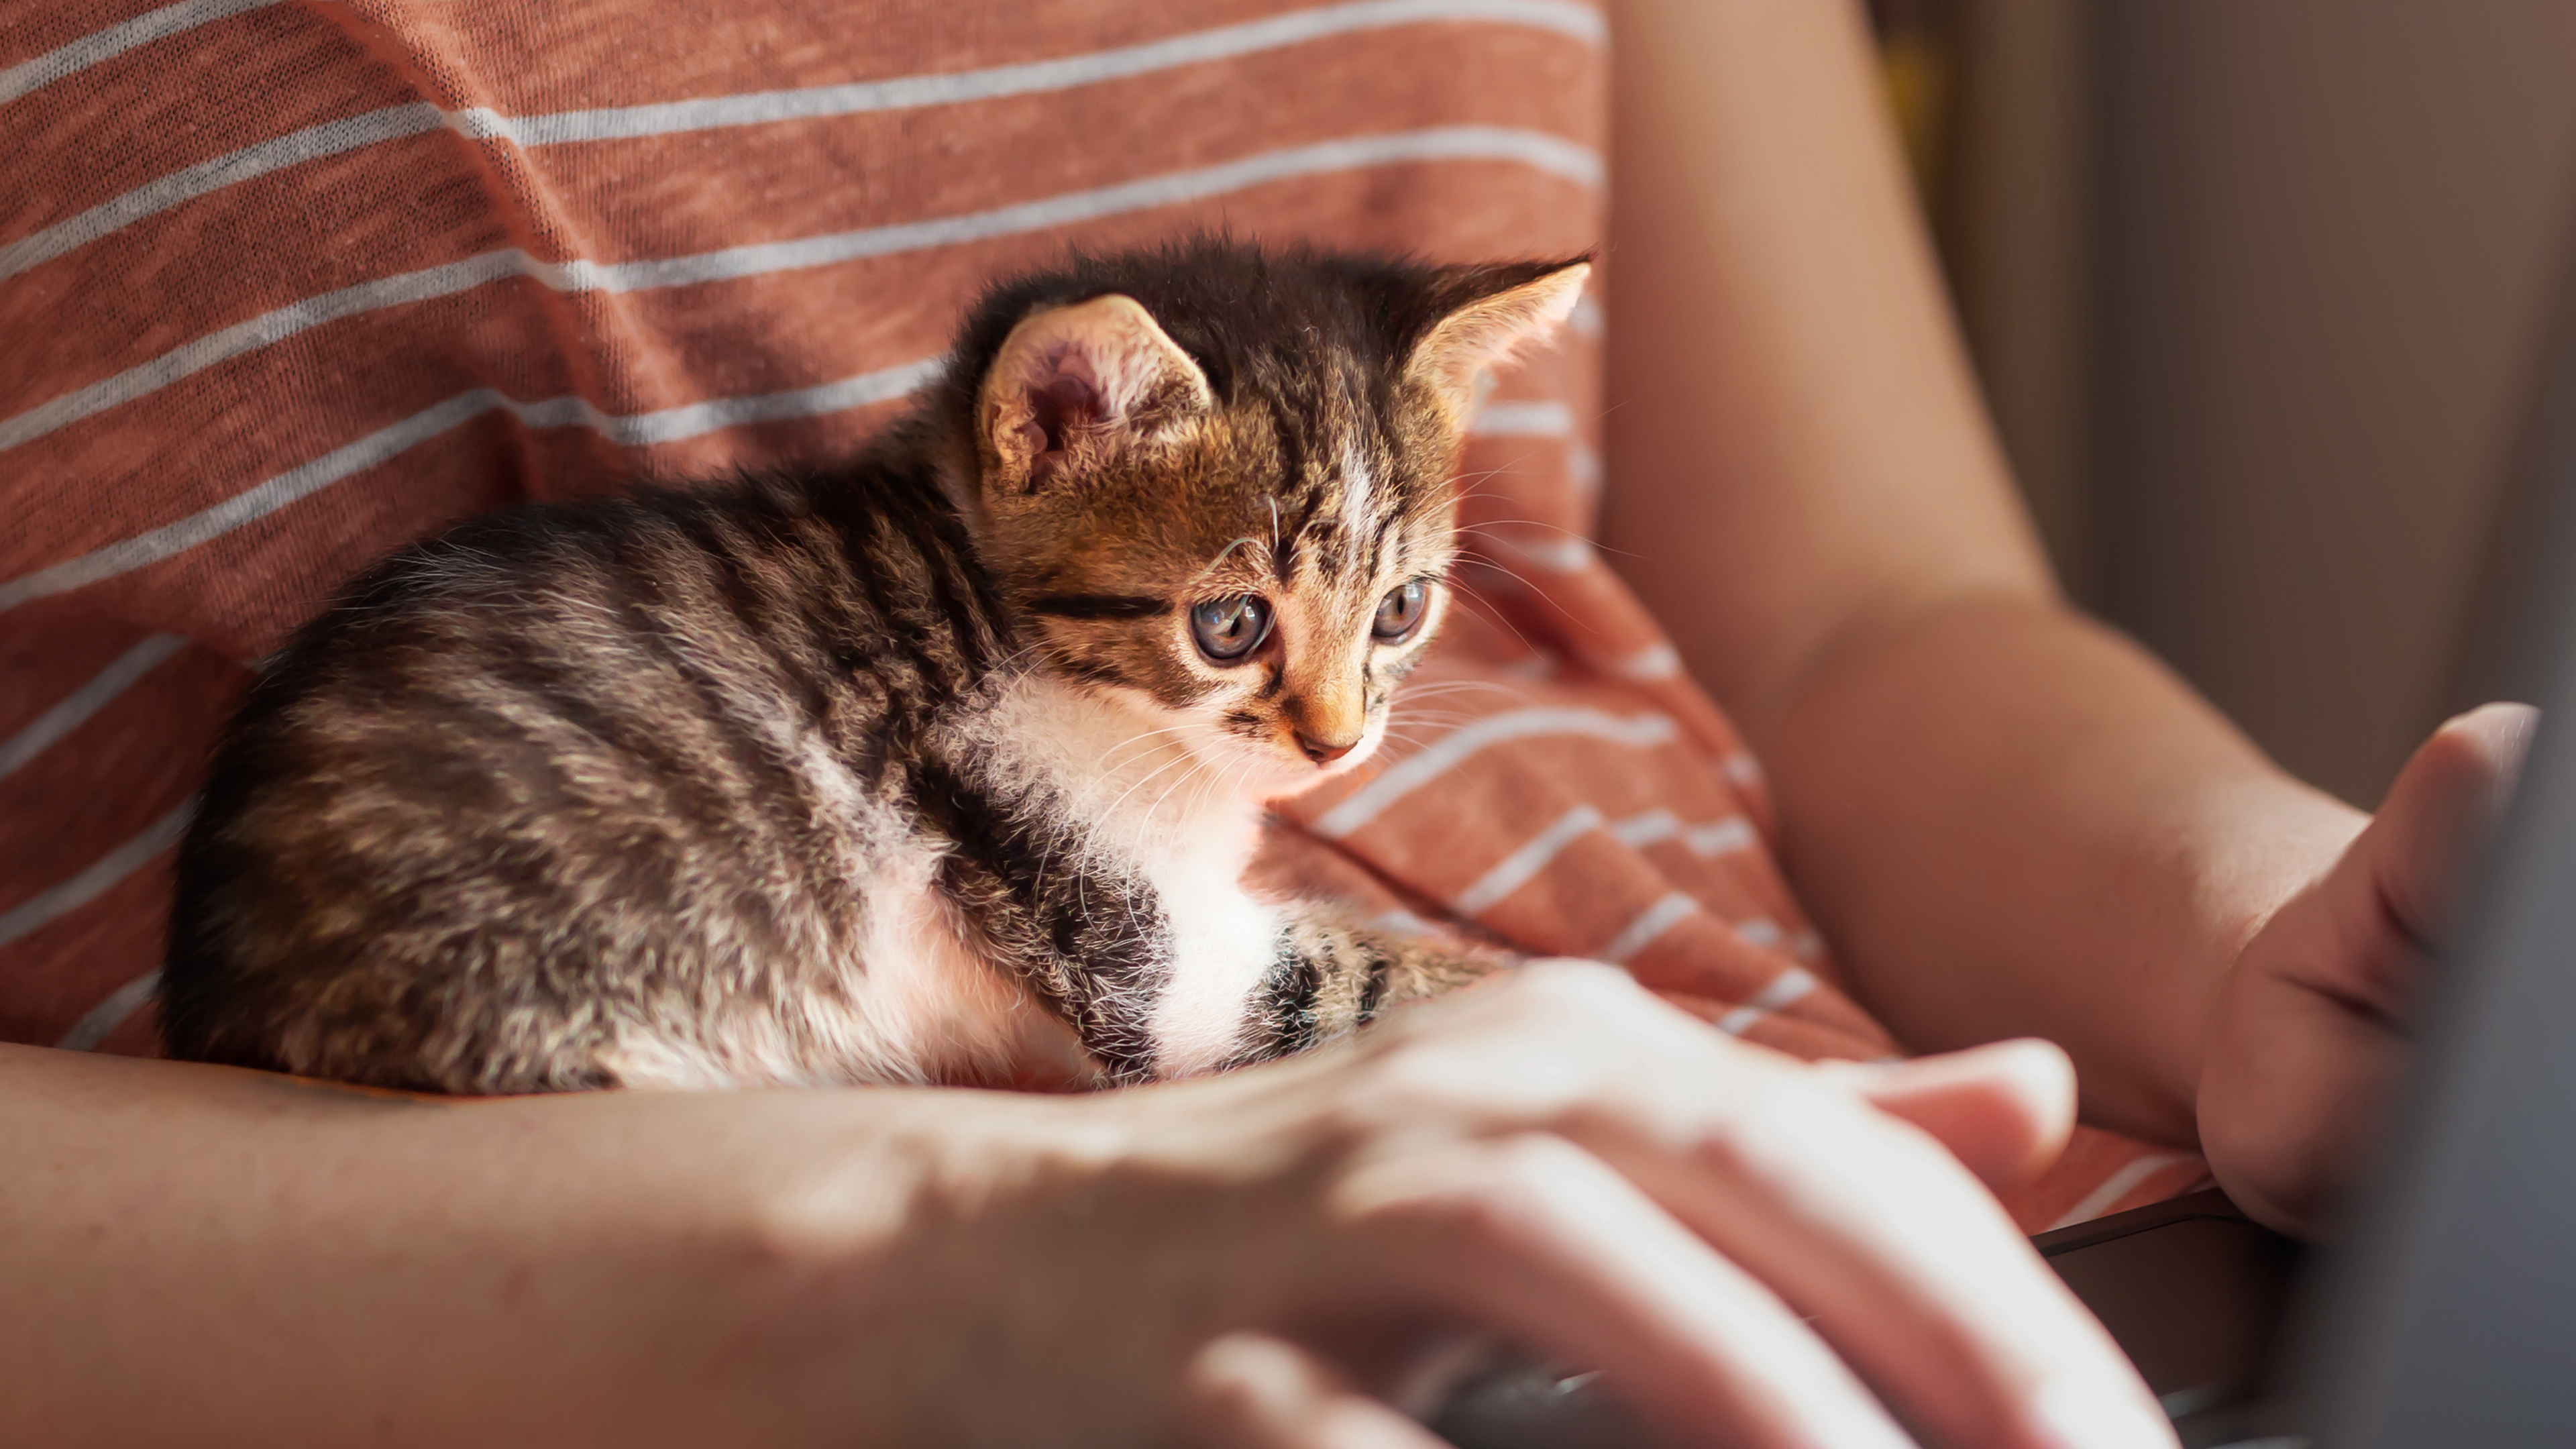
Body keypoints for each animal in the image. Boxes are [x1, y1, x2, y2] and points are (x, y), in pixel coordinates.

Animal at [156, 239, 1587, 1093]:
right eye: (1230, 626)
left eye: (1400, 610)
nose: (1339, 742)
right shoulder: (1110, 914)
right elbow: (1344, 972)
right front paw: (1535, 991)